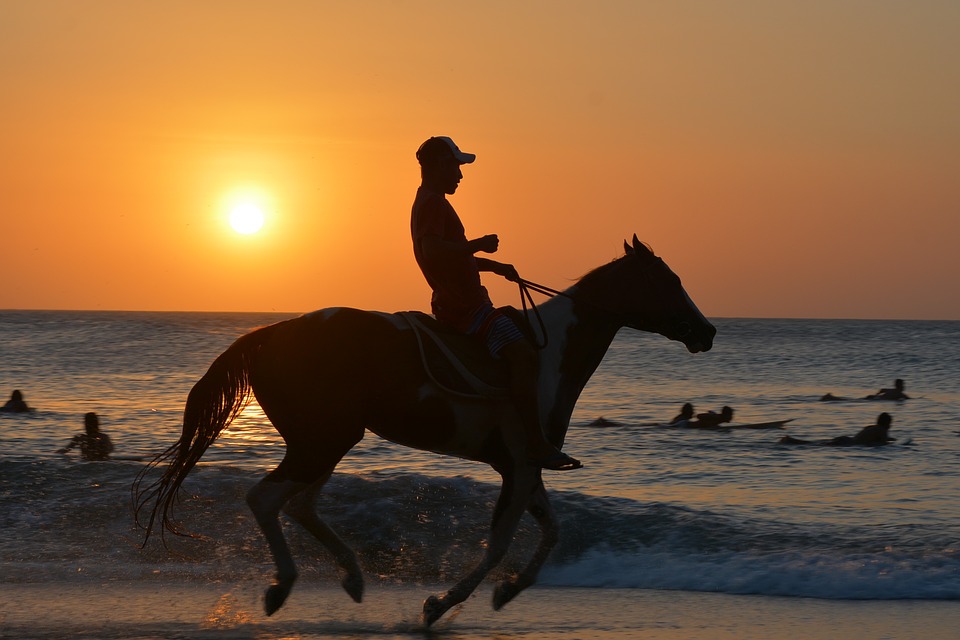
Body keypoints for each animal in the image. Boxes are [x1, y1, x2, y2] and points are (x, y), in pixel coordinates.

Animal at [135, 235, 712, 624]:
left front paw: (509, 591)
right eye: (671, 281)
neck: (550, 356)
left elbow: (551, 531)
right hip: (321, 442)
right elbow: (499, 542)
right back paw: (284, 586)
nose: (706, 332)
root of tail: (270, 334)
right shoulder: (520, 465)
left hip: (329, 440)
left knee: (298, 504)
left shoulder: (526, 466)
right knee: (267, 499)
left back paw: (351, 577)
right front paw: (440, 604)